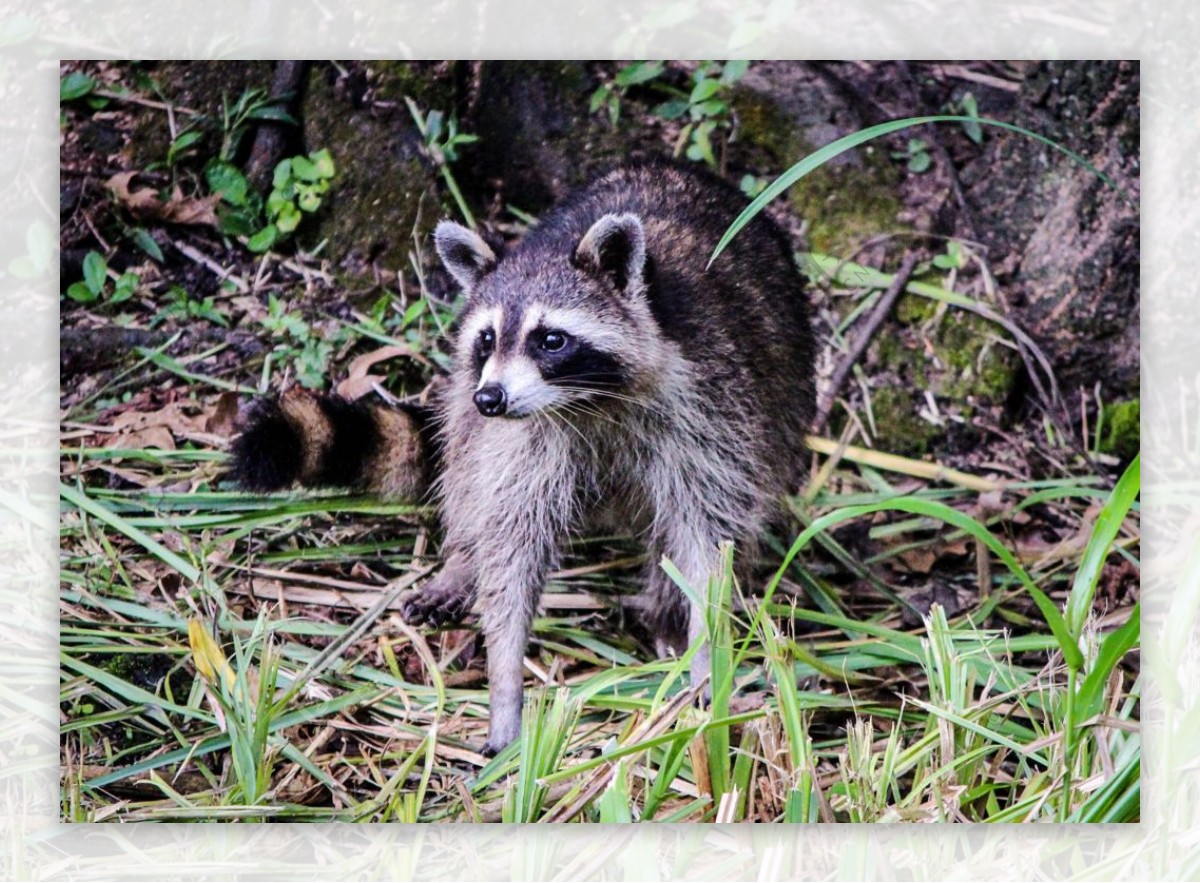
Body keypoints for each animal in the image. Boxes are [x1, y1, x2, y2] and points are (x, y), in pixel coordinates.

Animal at [234, 158, 816, 753]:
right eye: (488, 339)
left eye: (551, 340)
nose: (491, 398)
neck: (587, 401)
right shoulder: (524, 438)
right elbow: (510, 539)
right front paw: (505, 680)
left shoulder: (710, 407)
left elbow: (708, 538)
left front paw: (705, 653)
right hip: (469, 407)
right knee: (466, 464)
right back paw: (462, 560)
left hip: (784, 400)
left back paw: (665, 611)